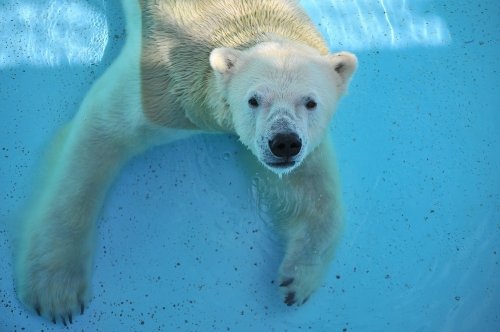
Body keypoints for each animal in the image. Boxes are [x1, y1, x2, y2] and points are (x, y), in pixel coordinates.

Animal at [14, 0, 356, 324]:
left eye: (311, 102)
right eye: (254, 100)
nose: (284, 143)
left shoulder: (305, 140)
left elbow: (310, 188)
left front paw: (298, 278)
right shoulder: (164, 88)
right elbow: (103, 133)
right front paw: (57, 289)